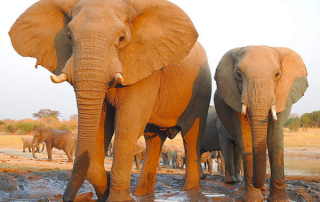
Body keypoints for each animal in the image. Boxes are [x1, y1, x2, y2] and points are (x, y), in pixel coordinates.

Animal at [9, 0, 212, 201]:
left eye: (122, 38)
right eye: (69, 36)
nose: (66, 197)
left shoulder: (144, 69)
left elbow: (127, 125)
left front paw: (116, 198)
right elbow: (100, 124)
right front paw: (104, 190)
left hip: (200, 92)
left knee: (191, 137)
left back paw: (191, 192)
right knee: (153, 140)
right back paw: (141, 193)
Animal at [212, 45, 308, 202]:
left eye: (277, 74)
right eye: (238, 74)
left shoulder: (282, 95)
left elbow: (275, 139)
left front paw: (280, 200)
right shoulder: (234, 98)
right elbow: (246, 139)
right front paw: (252, 198)